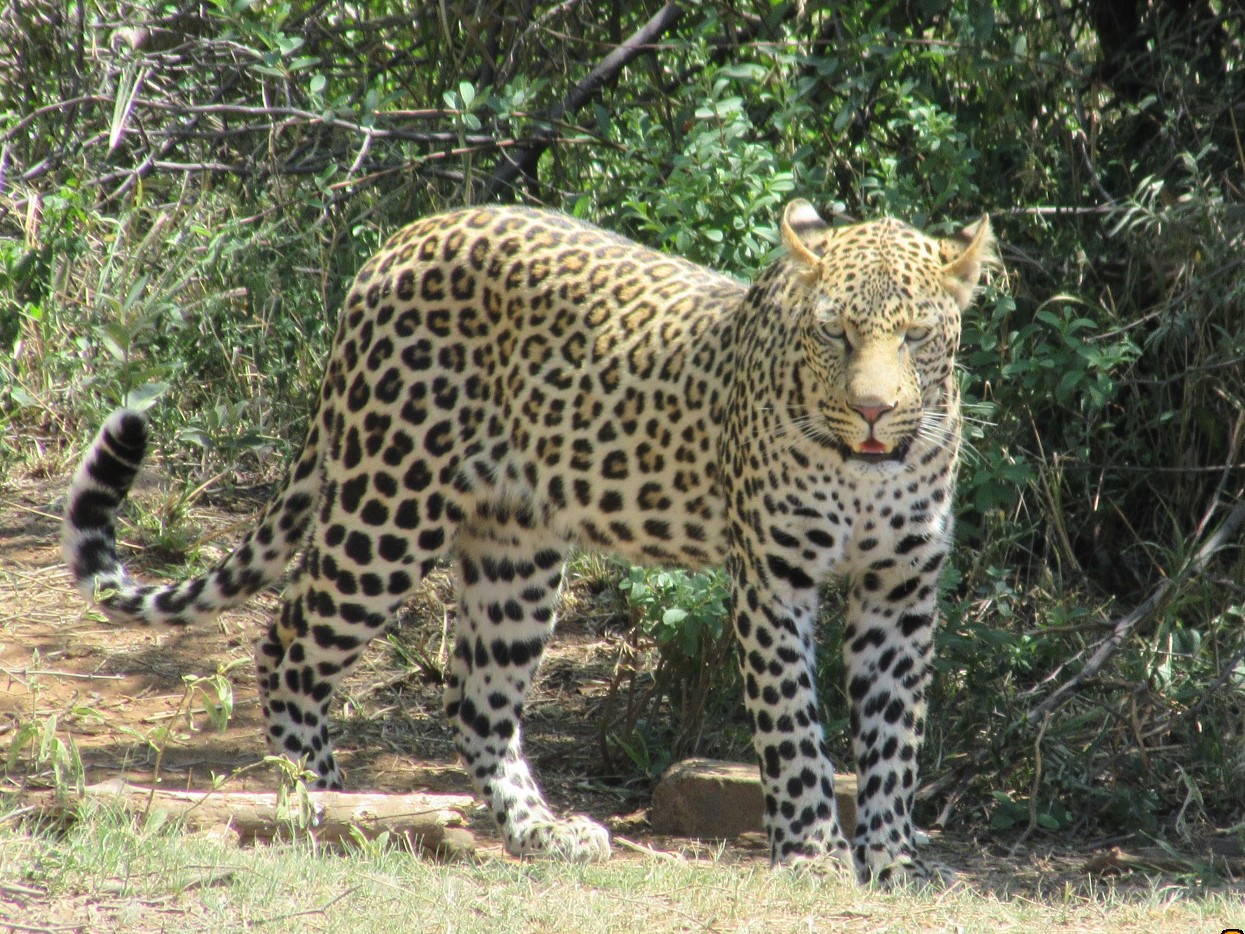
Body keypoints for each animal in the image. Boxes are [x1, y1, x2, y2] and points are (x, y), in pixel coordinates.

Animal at [63, 198, 996, 886]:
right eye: (835, 333)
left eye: (915, 335)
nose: (873, 411)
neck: (864, 467)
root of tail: (395, 243)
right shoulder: (774, 577)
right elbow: (793, 726)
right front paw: (811, 852)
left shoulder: (901, 589)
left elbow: (894, 732)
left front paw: (892, 858)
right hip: (387, 504)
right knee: (287, 641)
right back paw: (327, 809)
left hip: (515, 547)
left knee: (476, 700)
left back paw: (540, 832)